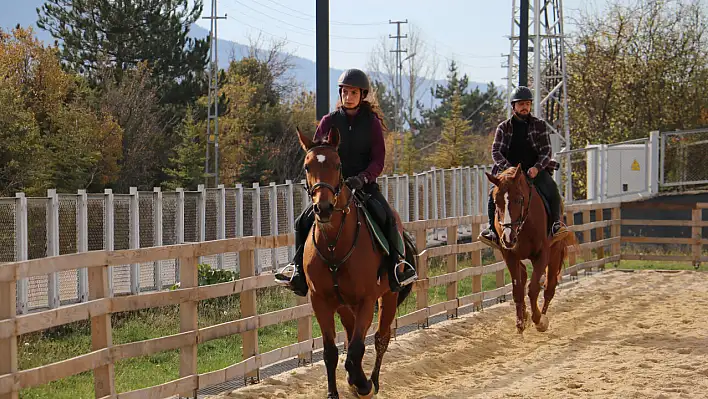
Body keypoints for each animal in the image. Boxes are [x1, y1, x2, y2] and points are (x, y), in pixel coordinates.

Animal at [298, 126, 418, 398]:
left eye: (338, 164)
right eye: (307, 166)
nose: (323, 208)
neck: (334, 245)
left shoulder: (366, 300)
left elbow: (355, 350)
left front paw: (362, 385)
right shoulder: (320, 301)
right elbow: (331, 352)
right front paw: (335, 391)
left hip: (388, 296)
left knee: (381, 338)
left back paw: (371, 381)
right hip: (344, 305)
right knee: (352, 334)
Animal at [484, 166, 580, 334]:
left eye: (519, 199)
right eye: (495, 202)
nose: (508, 237)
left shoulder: (542, 255)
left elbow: (534, 289)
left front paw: (539, 320)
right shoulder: (509, 255)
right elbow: (517, 290)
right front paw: (520, 322)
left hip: (554, 255)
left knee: (549, 287)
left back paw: (542, 315)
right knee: (523, 276)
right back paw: (525, 314)